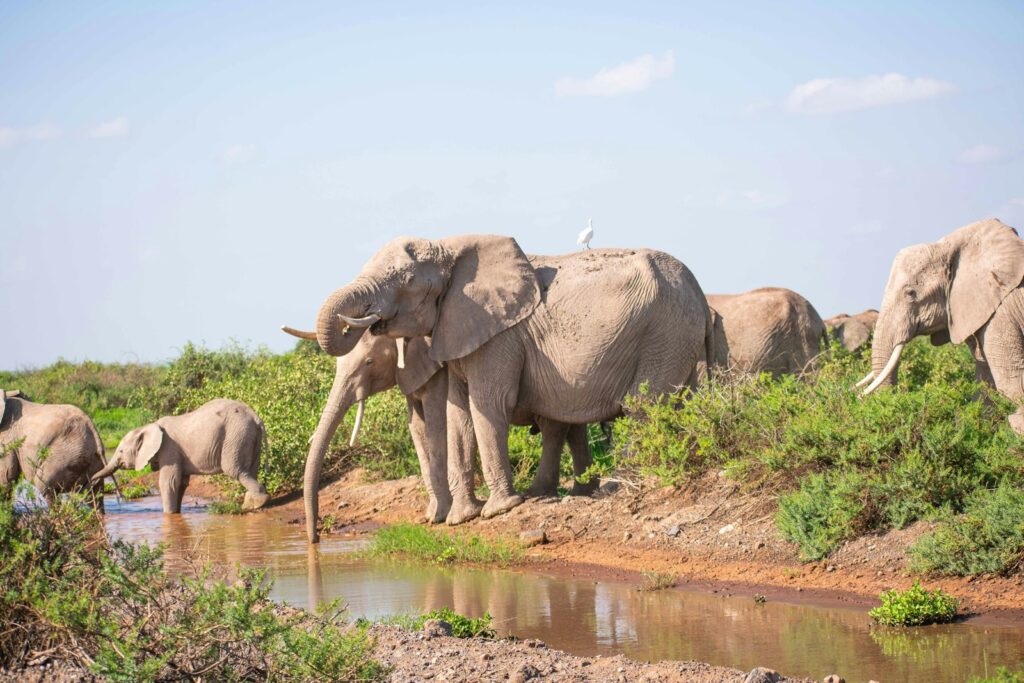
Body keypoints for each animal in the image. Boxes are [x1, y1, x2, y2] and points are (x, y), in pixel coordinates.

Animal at [91, 398, 270, 513]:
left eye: (121, 451)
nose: (91, 481)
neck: (148, 426)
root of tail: (256, 417)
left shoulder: (169, 449)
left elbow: (168, 482)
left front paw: (169, 516)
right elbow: (181, 483)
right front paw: (176, 512)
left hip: (236, 435)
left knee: (235, 470)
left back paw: (255, 504)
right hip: (248, 435)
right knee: (252, 469)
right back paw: (253, 502)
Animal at [279, 326, 596, 543]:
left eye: (369, 362)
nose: (316, 539)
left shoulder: (438, 372)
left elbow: (436, 421)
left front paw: (442, 515)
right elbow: (416, 427)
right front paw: (432, 516)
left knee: (555, 426)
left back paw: (547, 493)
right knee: (572, 425)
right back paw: (583, 492)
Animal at [311, 236, 711, 526]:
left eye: (407, 281)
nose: (316, 534)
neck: (450, 247)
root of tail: (700, 291)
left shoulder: (499, 337)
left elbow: (487, 405)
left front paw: (498, 510)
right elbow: (459, 414)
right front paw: (462, 519)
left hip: (666, 330)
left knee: (642, 406)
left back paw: (613, 489)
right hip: (677, 336)